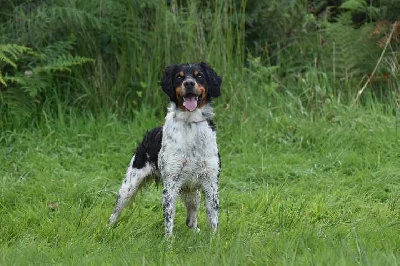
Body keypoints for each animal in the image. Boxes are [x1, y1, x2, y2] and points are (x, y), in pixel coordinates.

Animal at [108, 62, 222, 237]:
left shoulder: (210, 182)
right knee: (115, 211)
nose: (189, 83)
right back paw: (108, 228)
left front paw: (214, 239)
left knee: (191, 218)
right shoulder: (171, 183)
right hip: (129, 185)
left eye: (199, 75)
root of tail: (148, 134)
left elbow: (213, 217)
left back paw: (195, 230)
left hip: (193, 192)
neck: (191, 125)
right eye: (179, 77)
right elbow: (169, 217)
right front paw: (169, 241)